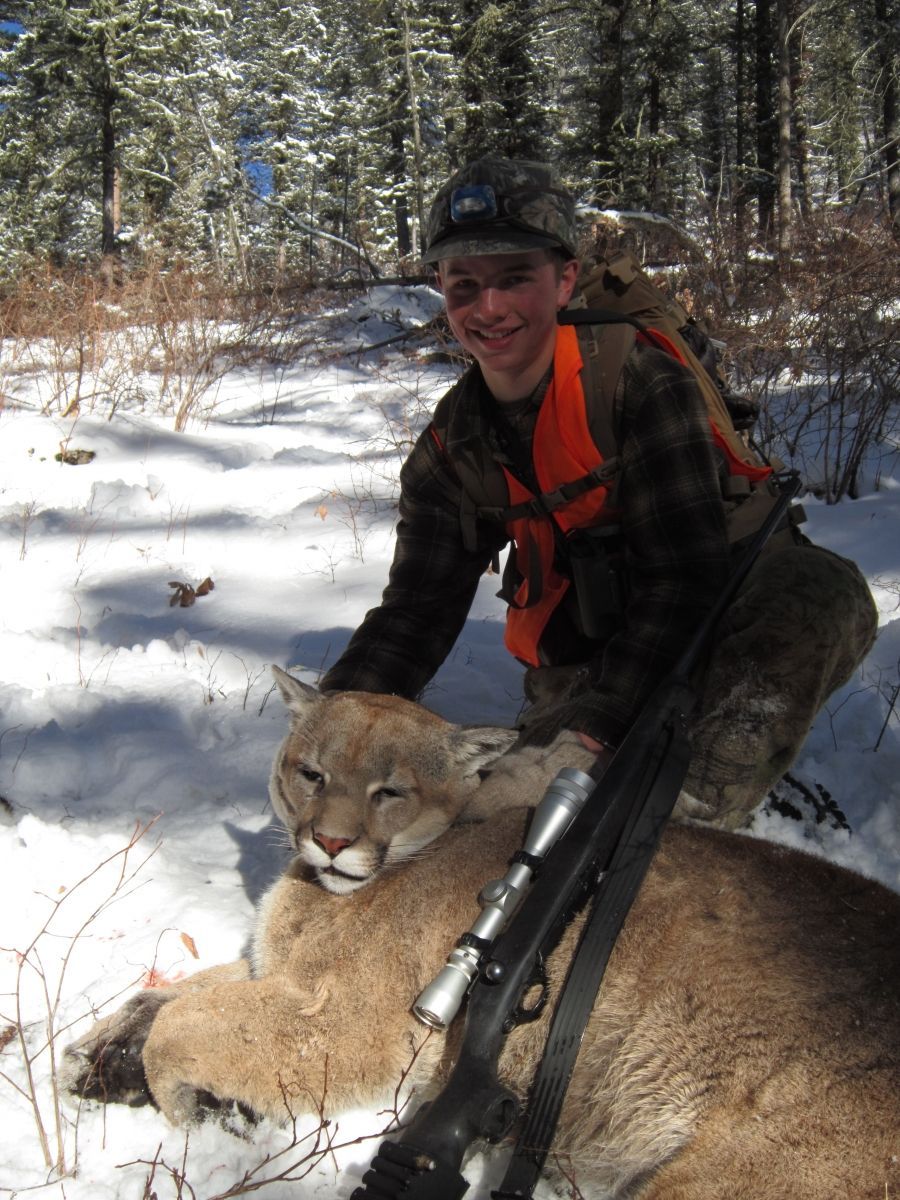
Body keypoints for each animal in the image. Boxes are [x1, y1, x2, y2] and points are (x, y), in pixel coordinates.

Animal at [65, 667, 900, 1199]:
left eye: (390, 791)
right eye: (312, 774)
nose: (329, 842)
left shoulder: (357, 1028)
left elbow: (184, 1022)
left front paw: (192, 1107)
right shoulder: (284, 973)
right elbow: (169, 995)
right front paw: (101, 1057)